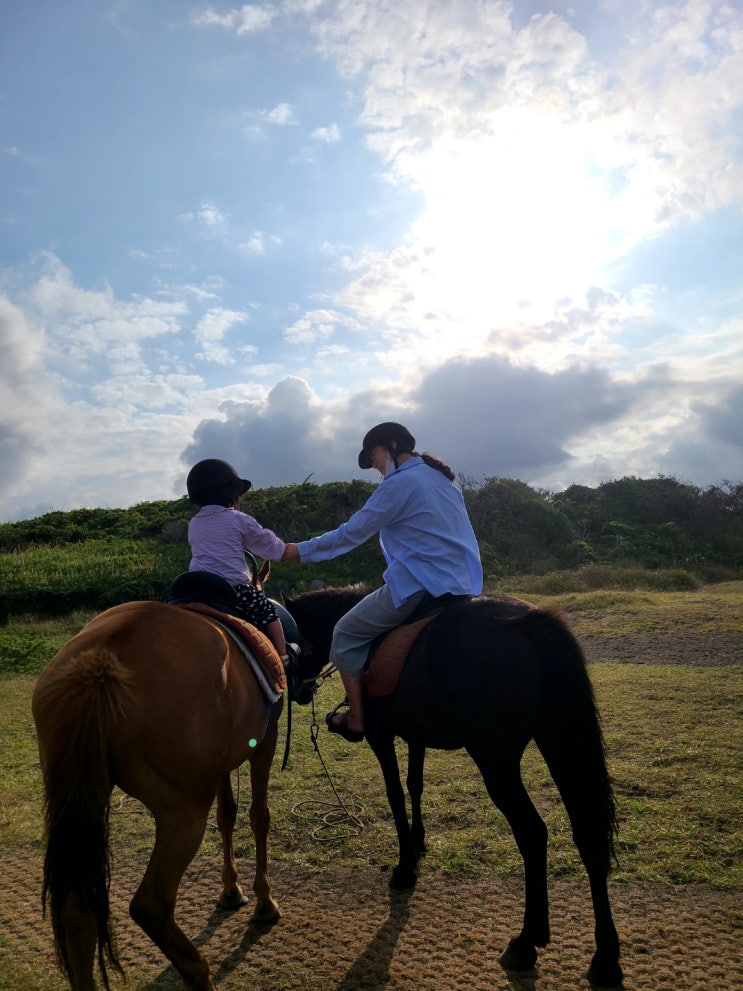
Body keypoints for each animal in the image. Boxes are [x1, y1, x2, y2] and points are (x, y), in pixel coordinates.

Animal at [31, 596, 284, 991]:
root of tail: (100, 665)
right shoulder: (264, 739)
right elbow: (259, 816)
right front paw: (264, 902)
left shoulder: (222, 761)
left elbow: (227, 814)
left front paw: (231, 891)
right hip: (183, 814)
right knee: (150, 905)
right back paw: (199, 971)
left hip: (79, 799)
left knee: (77, 912)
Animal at [288, 584, 624, 988]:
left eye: (295, 644)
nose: (296, 691)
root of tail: (530, 621)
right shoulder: (415, 735)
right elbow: (415, 785)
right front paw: (418, 841)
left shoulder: (381, 736)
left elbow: (395, 794)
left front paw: (405, 867)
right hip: (559, 741)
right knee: (587, 833)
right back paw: (605, 958)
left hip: (496, 761)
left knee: (532, 832)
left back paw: (526, 941)